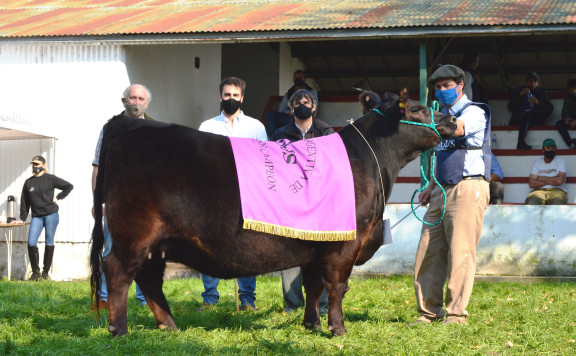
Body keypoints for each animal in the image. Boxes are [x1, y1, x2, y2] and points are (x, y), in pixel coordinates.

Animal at [90, 92, 456, 336]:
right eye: (419, 109)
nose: (453, 120)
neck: (370, 159)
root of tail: (128, 124)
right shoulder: (345, 244)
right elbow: (336, 286)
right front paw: (338, 329)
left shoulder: (316, 243)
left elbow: (313, 285)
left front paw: (312, 325)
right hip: (134, 231)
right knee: (119, 271)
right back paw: (120, 330)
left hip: (157, 242)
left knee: (149, 279)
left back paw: (169, 326)